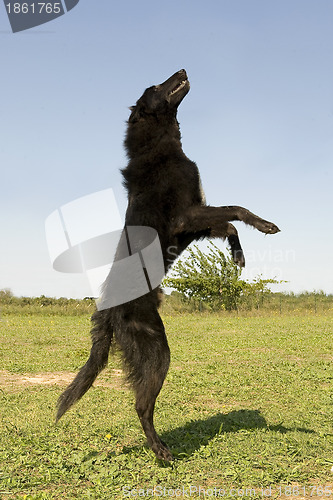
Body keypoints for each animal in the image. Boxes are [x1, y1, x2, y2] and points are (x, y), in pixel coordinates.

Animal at [55, 69, 278, 460]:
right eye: (156, 88)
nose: (184, 70)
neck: (160, 148)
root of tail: (107, 310)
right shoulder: (186, 215)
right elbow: (237, 209)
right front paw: (266, 225)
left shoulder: (195, 222)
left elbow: (230, 224)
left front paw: (238, 256)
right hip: (157, 351)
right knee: (141, 405)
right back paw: (161, 451)